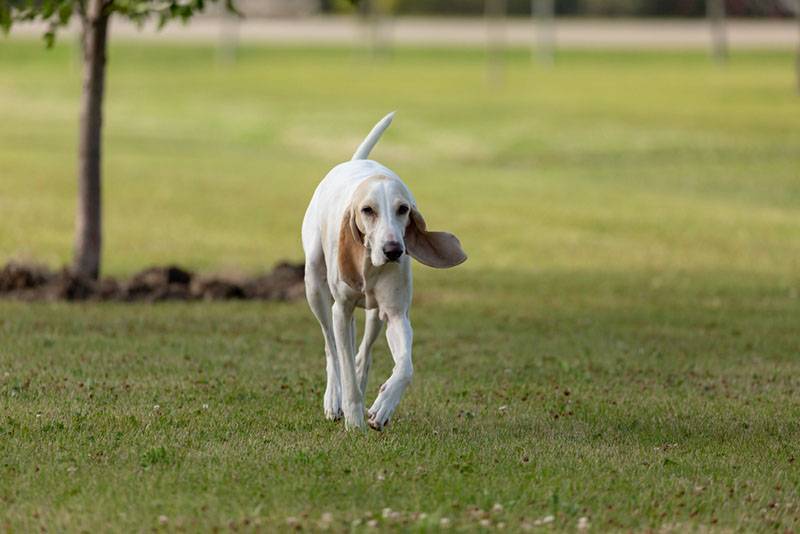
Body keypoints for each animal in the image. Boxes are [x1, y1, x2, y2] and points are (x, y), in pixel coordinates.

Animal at [300, 113, 466, 432]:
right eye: (368, 210)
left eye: (403, 209)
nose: (393, 250)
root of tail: (354, 162)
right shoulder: (341, 310)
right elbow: (343, 364)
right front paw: (353, 419)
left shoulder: (396, 313)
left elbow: (405, 367)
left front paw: (383, 406)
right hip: (314, 285)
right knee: (331, 348)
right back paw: (333, 399)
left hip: (375, 313)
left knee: (362, 353)